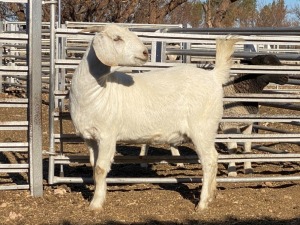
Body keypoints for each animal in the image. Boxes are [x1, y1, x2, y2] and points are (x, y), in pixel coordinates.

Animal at [69, 24, 240, 211]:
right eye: (117, 38)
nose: (145, 52)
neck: (98, 90)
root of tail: (213, 76)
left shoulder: (107, 134)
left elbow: (100, 168)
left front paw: (96, 204)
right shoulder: (90, 138)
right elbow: (94, 166)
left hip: (202, 127)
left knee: (209, 160)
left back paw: (202, 204)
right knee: (214, 158)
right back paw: (211, 196)